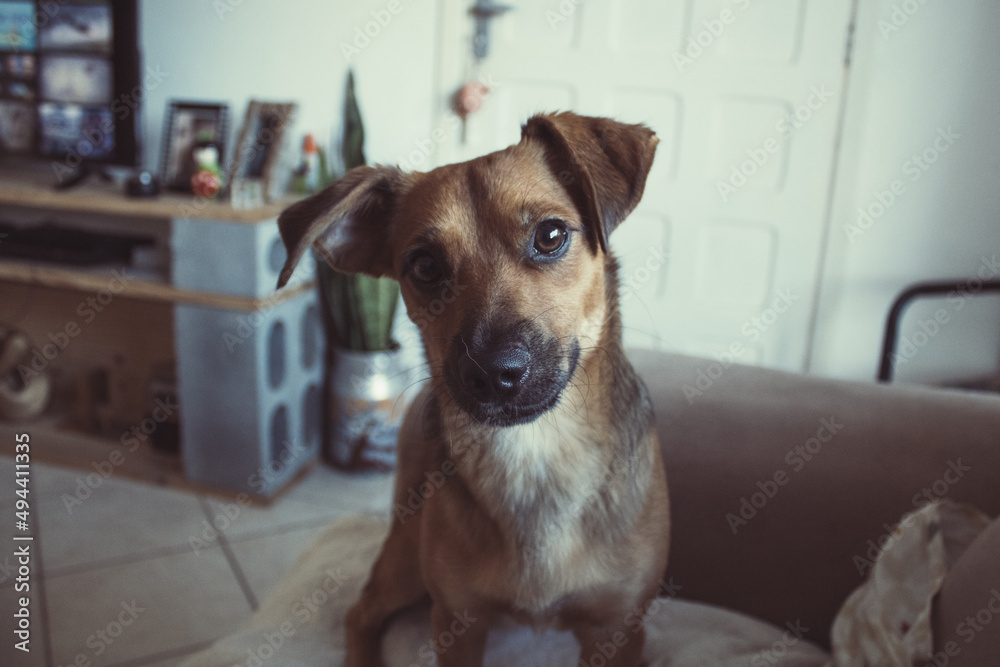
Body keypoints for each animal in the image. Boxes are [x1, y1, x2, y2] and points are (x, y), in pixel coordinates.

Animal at [276, 112, 672, 664]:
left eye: (551, 235)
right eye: (424, 265)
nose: (491, 372)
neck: (535, 452)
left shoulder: (616, 629)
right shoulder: (457, 622)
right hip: (406, 563)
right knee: (360, 612)